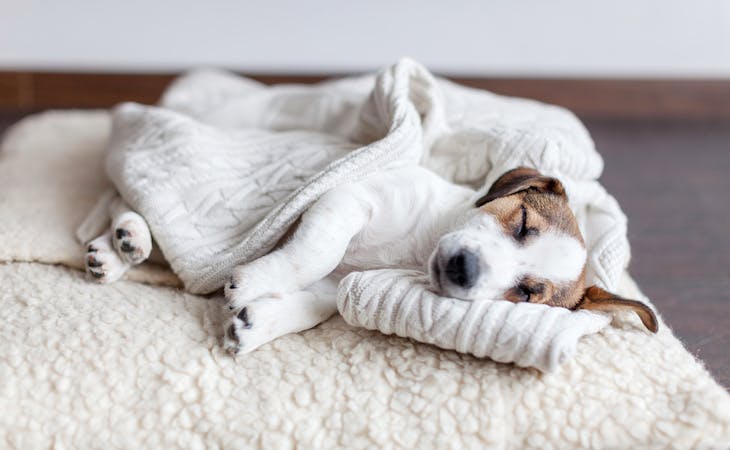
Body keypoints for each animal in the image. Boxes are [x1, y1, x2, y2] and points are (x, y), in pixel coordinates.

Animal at [82, 165, 656, 356]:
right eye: (520, 223)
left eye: (528, 293)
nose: (464, 270)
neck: (420, 244)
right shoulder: (345, 200)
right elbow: (313, 254)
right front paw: (256, 280)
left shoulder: (339, 278)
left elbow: (317, 302)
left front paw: (257, 322)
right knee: (117, 199)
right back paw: (128, 235)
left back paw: (117, 252)